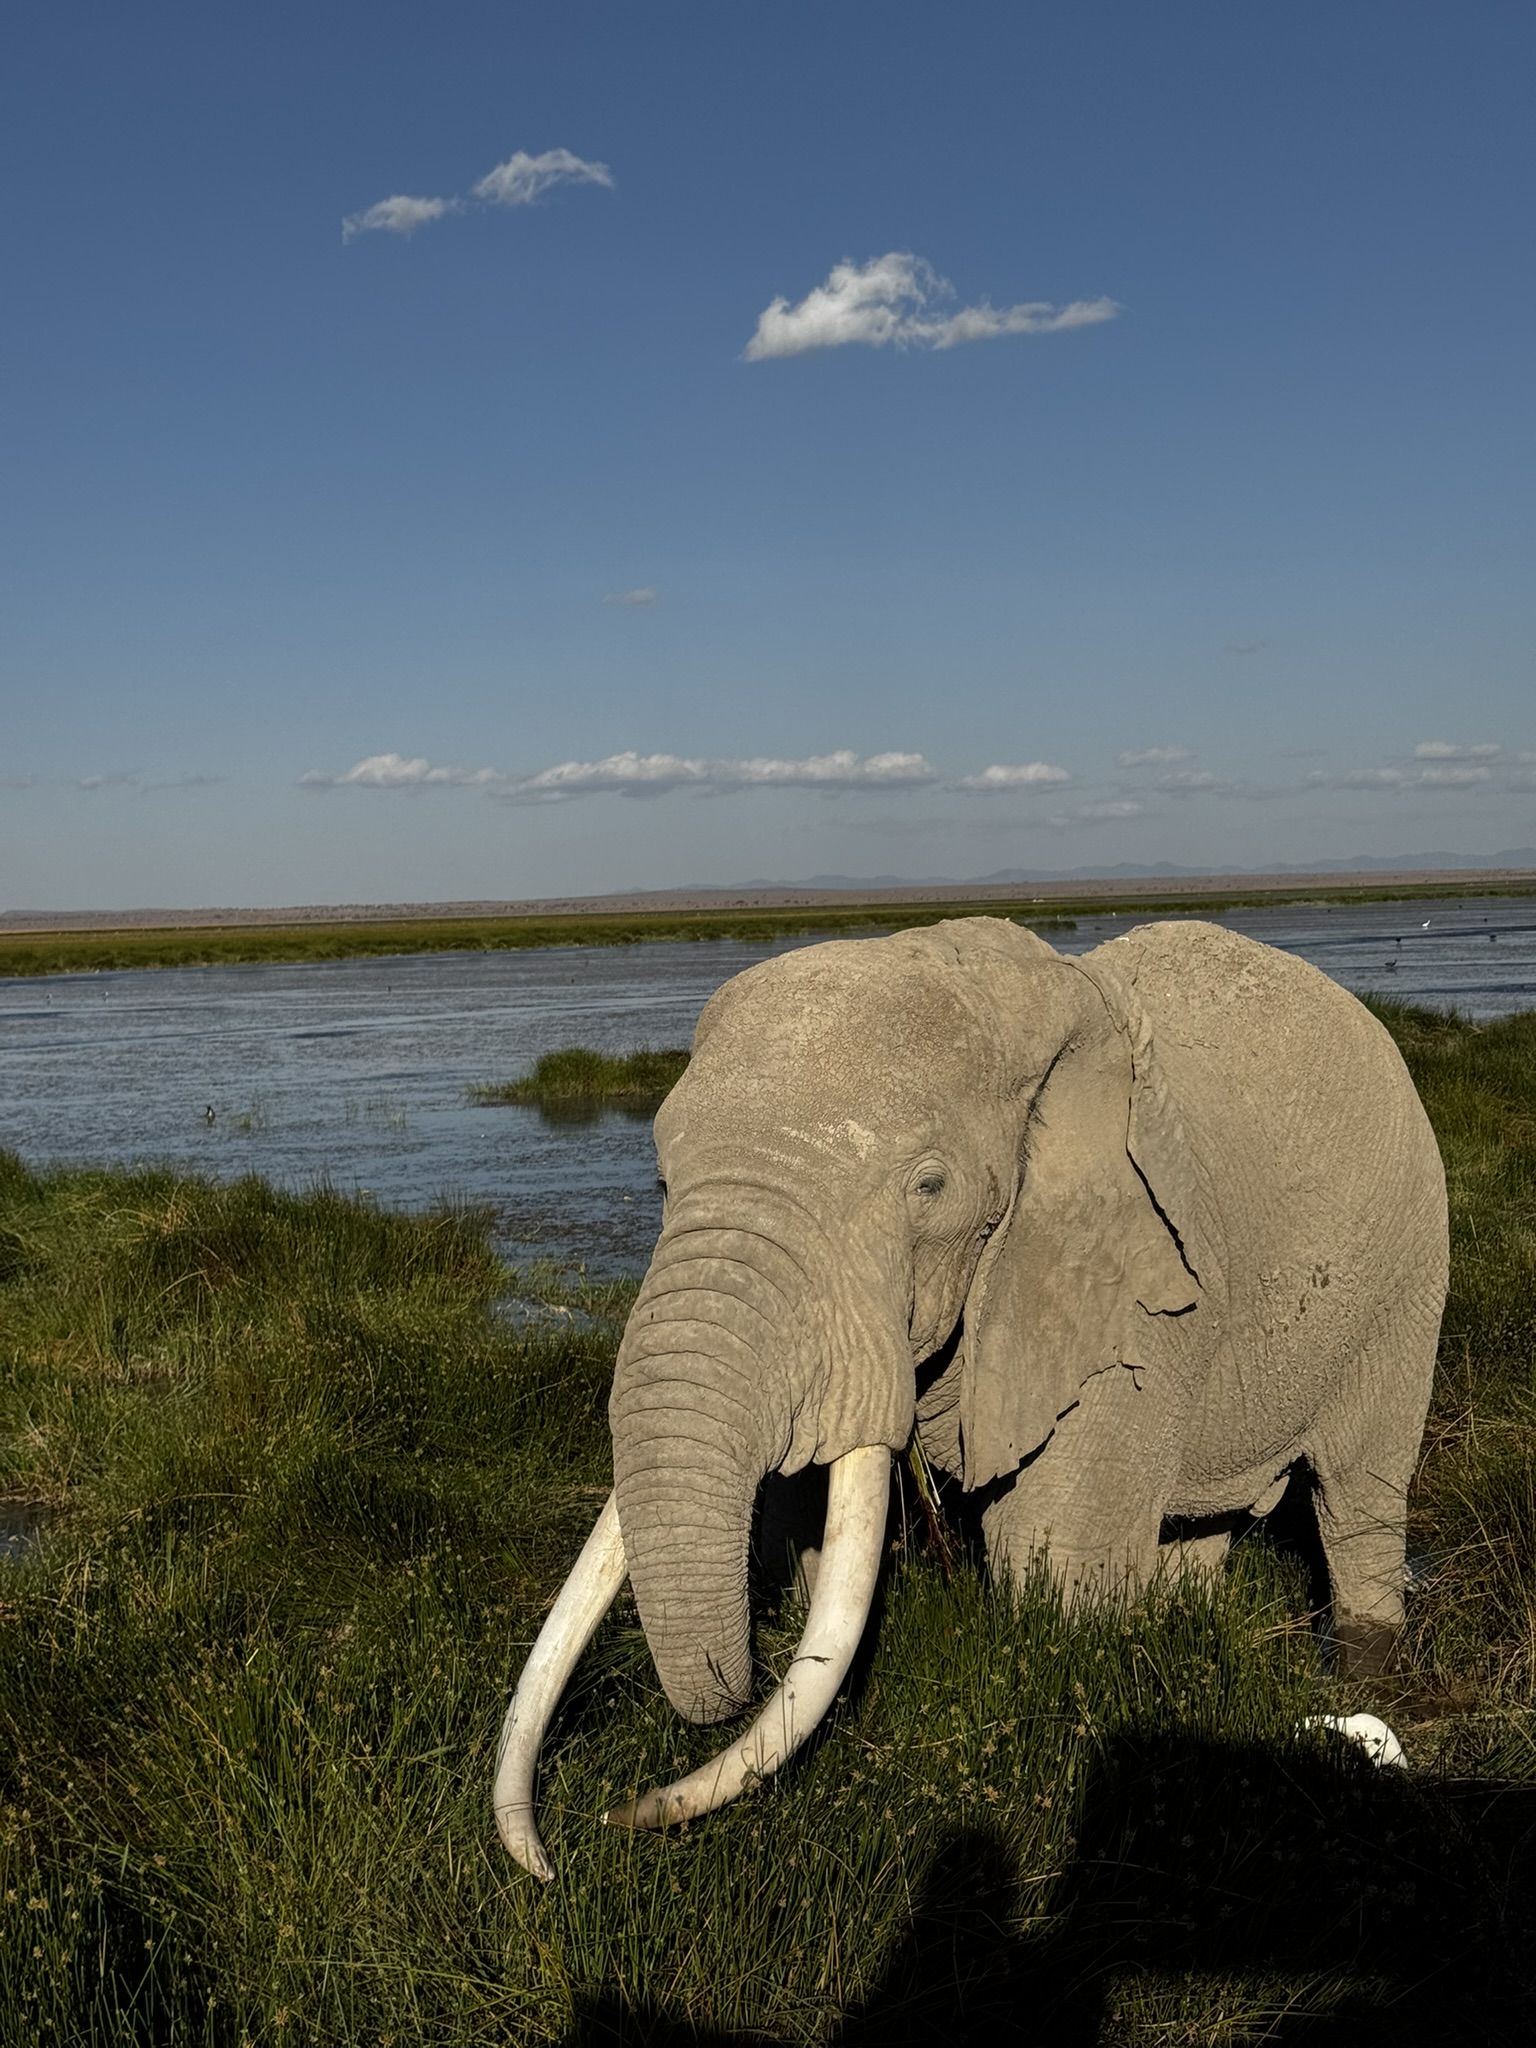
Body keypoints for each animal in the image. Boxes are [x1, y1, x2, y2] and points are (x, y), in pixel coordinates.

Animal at [496, 916, 1448, 1879]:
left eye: (930, 1186)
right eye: (660, 1184)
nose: (590, 1832)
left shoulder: (1136, 1288)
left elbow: (1050, 1560)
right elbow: (809, 1527)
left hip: (1405, 1277)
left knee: (1357, 1495)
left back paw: (1360, 1679)